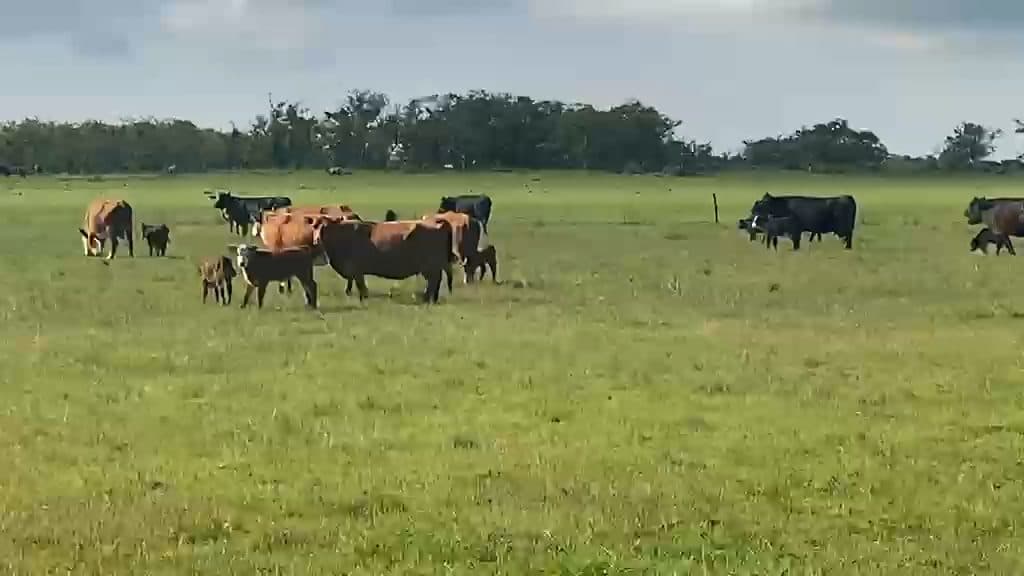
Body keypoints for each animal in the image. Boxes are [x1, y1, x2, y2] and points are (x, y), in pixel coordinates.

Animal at [312, 219, 454, 304]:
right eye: (314, 227)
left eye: (324, 227)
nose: (316, 240)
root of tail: (436, 221)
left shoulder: (356, 270)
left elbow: (361, 286)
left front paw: (363, 299)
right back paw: (432, 299)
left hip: (430, 266)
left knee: (434, 281)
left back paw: (426, 298)